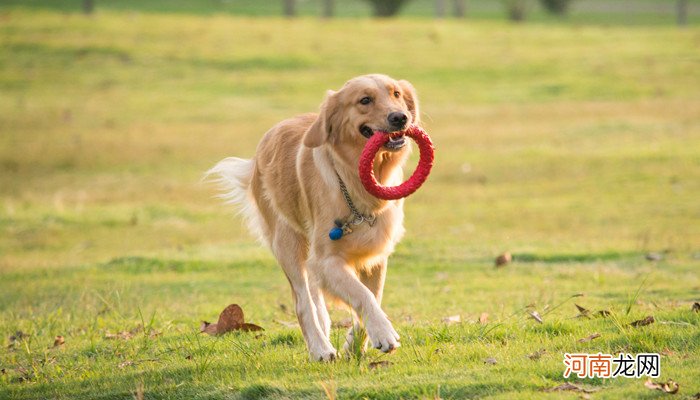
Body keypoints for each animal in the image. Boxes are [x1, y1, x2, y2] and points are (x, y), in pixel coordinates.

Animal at [209, 74, 422, 360]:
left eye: (396, 94)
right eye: (365, 100)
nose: (400, 117)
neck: (355, 182)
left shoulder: (376, 256)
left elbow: (372, 295)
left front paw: (355, 344)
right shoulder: (326, 260)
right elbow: (362, 295)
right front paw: (383, 333)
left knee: (316, 299)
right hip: (287, 243)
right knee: (303, 302)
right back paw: (320, 348)